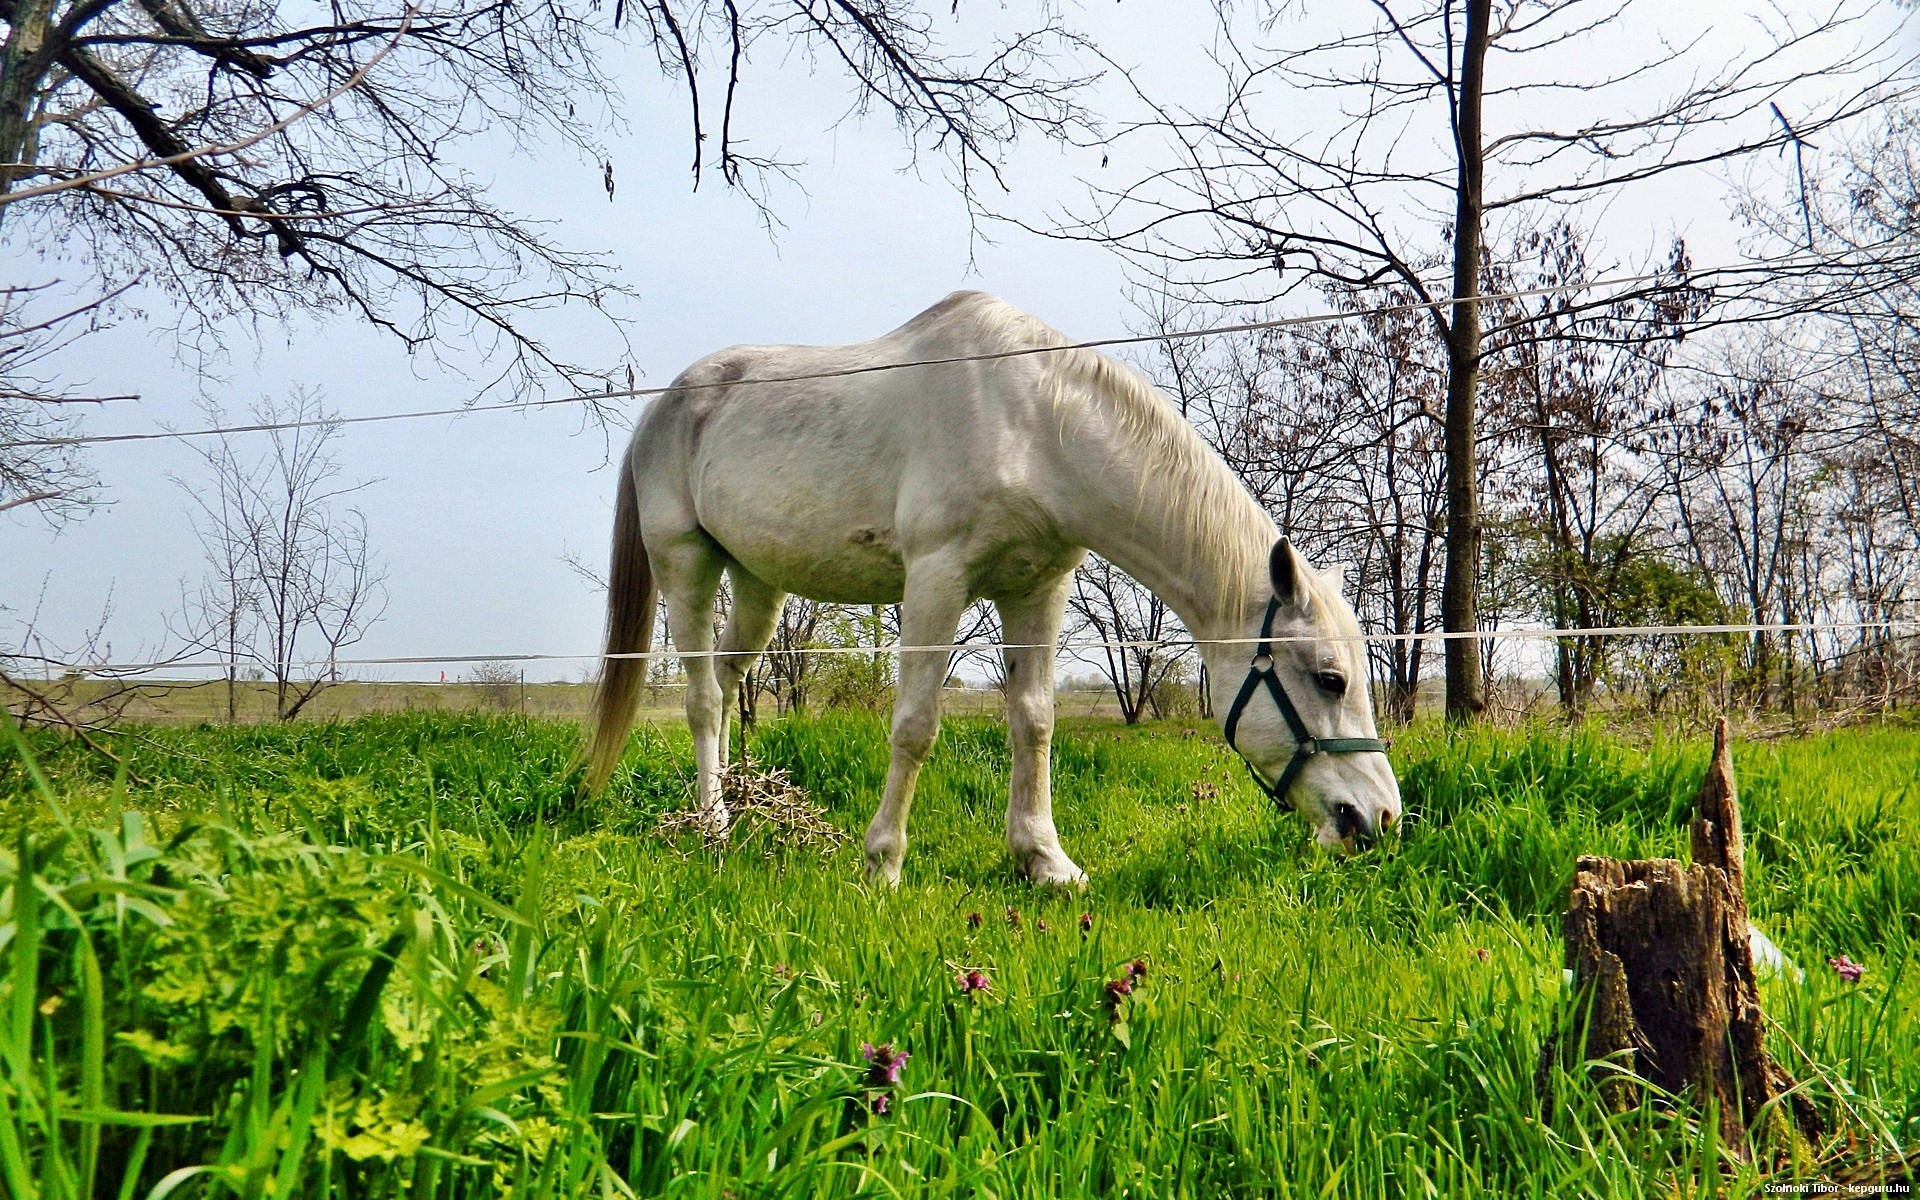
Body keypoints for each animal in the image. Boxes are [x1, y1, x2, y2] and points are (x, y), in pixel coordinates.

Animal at [576, 289, 1405, 879]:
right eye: (1330, 680)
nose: (1380, 817)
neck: (1035, 425)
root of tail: (665, 404)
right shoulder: (937, 580)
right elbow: (915, 726)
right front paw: (883, 862)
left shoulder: (1036, 590)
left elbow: (1033, 722)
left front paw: (1044, 861)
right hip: (687, 564)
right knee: (701, 698)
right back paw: (714, 828)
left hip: (757, 584)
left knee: (727, 681)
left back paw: (743, 807)